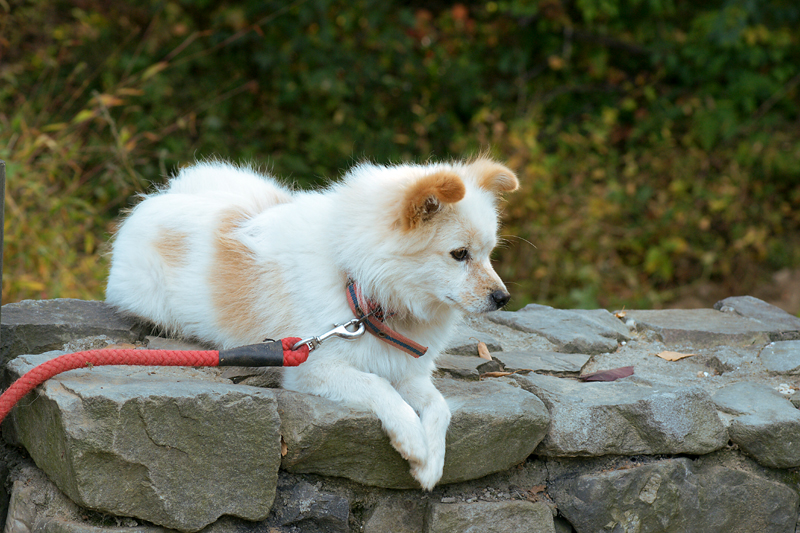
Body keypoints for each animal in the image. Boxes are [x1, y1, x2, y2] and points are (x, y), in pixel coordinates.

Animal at [106, 156, 520, 488]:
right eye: (459, 254)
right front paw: (413, 441)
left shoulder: (407, 371)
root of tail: (165, 194)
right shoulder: (312, 366)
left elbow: (440, 407)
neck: (362, 289)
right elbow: (378, 388)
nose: (503, 298)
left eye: (488, 253)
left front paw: (432, 463)